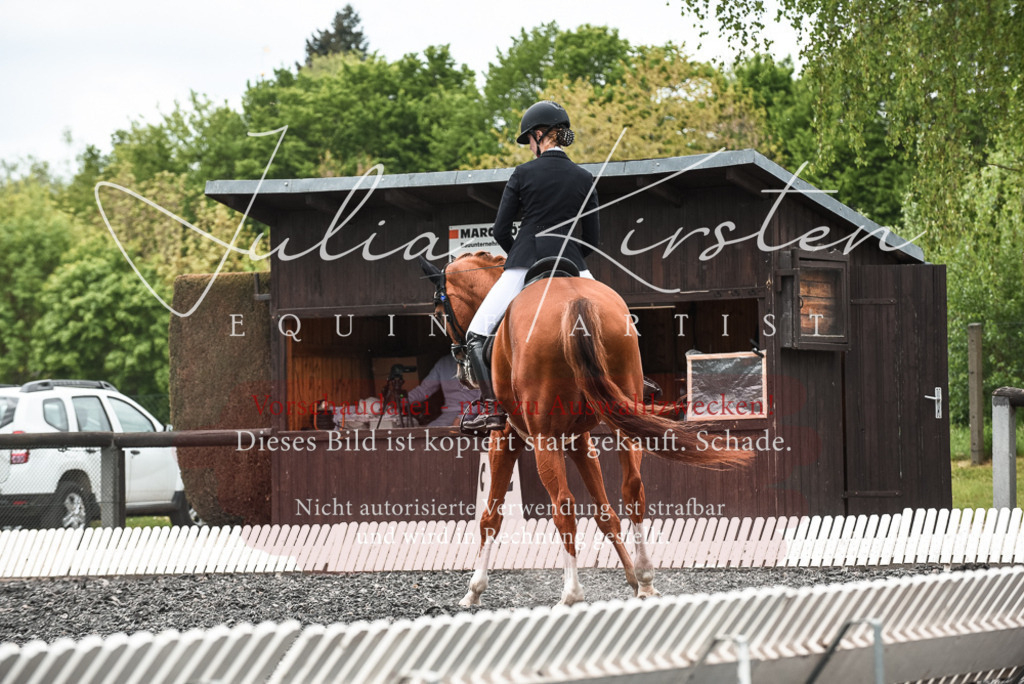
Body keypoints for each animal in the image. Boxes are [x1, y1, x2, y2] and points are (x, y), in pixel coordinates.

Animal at [421, 252, 752, 606]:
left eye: (439, 313)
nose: (462, 372)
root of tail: (575, 300)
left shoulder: (507, 437)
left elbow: (490, 517)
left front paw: (474, 590)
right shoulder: (579, 439)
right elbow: (606, 513)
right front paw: (633, 580)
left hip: (544, 439)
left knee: (563, 505)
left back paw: (572, 593)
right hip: (622, 422)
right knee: (633, 489)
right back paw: (646, 579)